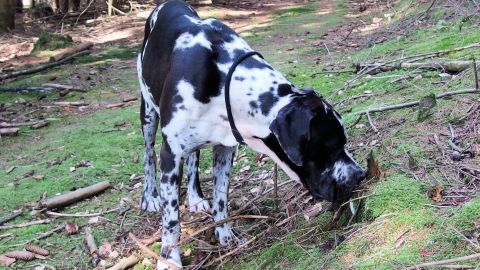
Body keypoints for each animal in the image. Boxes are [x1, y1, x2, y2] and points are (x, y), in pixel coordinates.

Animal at [137, 0, 366, 268]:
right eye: (330, 147)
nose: (360, 175)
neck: (224, 81)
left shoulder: (225, 149)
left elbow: (221, 199)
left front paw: (226, 237)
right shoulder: (171, 153)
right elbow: (172, 219)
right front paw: (169, 259)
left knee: (193, 157)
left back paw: (195, 197)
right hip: (148, 114)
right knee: (148, 154)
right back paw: (150, 197)